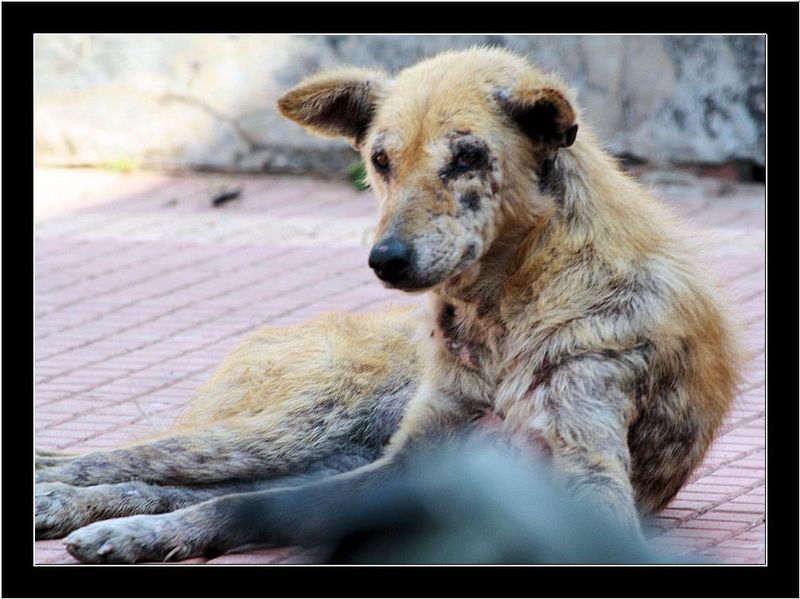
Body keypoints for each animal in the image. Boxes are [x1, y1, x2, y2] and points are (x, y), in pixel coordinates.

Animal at [36, 45, 736, 564]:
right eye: (380, 159)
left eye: (468, 156)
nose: (387, 259)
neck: (501, 318)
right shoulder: (409, 462)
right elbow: (237, 506)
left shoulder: (583, 477)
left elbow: (241, 506)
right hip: (297, 432)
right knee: (141, 459)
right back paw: (59, 489)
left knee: (179, 485)